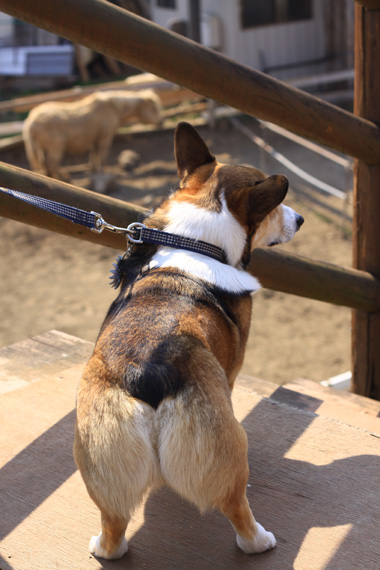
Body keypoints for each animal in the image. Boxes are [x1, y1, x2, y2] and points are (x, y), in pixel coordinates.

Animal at [73, 121, 302, 560]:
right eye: (274, 208)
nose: (299, 219)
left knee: (113, 526)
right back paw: (260, 541)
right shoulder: (233, 371)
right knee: (235, 505)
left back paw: (102, 547)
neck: (197, 240)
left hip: (99, 463)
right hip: (229, 448)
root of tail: (146, 373)